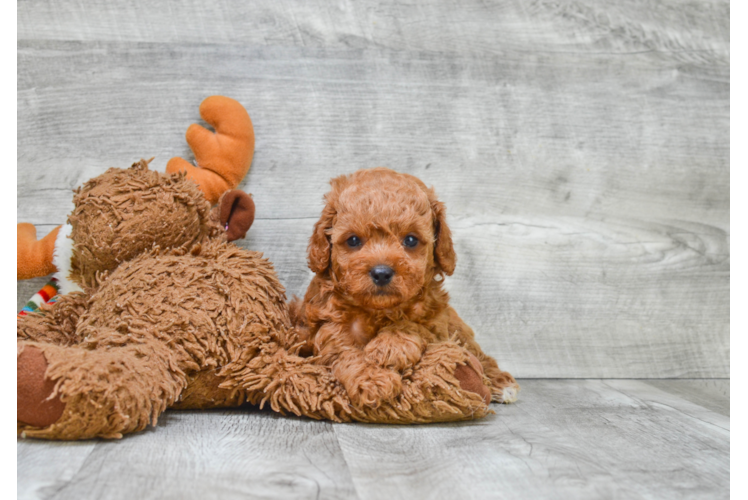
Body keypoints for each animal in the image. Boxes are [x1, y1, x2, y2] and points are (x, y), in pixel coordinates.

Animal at [294, 168, 520, 410]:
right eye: (353, 240)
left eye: (411, 240)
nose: (381, 272)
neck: (380, 310)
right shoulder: (330, 325)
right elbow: (345, 351)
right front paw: (372, 379)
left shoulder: (437, 323)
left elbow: (415, 326)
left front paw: (391, 345)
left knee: (477, 352)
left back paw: (500, 383)